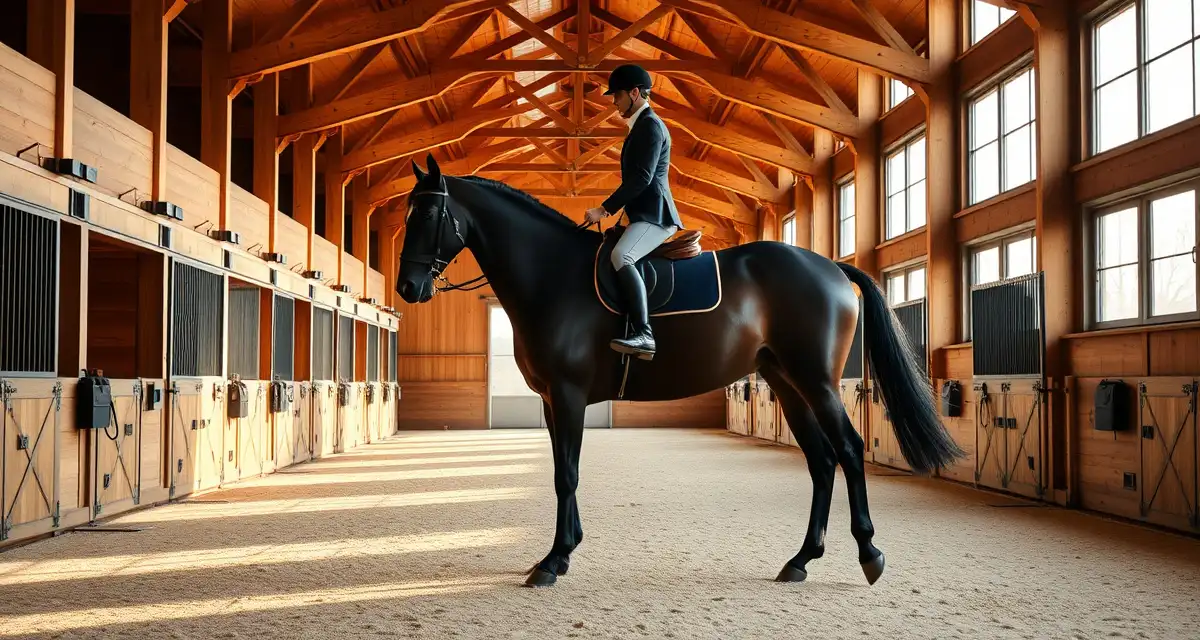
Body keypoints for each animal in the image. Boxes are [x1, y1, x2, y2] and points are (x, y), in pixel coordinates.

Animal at [394, 153, 964, 589]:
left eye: (429, 214)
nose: (407, 289)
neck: (551, 275)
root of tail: (831, 268)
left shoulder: (569, 393)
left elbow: (567, 474)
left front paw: (554, 561)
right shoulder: (552, 400)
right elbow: (562, 471)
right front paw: (562, 551)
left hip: (816, 381)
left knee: (847, 450)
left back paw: (870, 554)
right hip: (786, 383)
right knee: (822, 461)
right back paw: (800, 561)